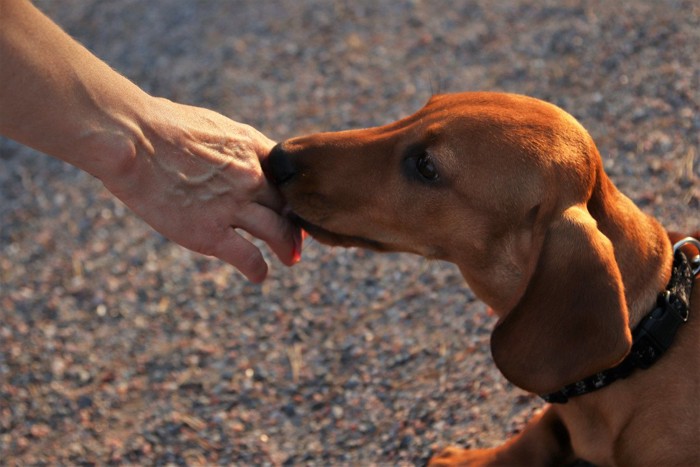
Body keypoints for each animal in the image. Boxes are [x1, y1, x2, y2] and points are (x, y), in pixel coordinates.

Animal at [266, 93, 696, 466]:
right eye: (422, 108)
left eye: (426, 166)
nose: (276, 157)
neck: (651, 329)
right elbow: (533, 437)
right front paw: (469, 459)